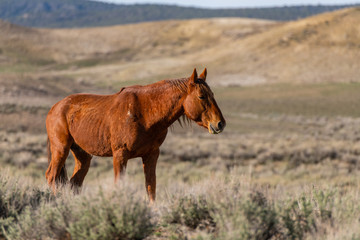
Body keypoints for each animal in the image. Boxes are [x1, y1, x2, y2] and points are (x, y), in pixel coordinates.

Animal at [45, 67, 225, 201]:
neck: (144, 113)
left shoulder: (151, 155)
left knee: (75, 183)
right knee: (52, 177)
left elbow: (151, 186)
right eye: (201, 96)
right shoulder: (120, 155)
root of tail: (55, 107)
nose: (220, 124)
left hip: (83, 155)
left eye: (212, 95)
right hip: (61, 149)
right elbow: (120, 184)